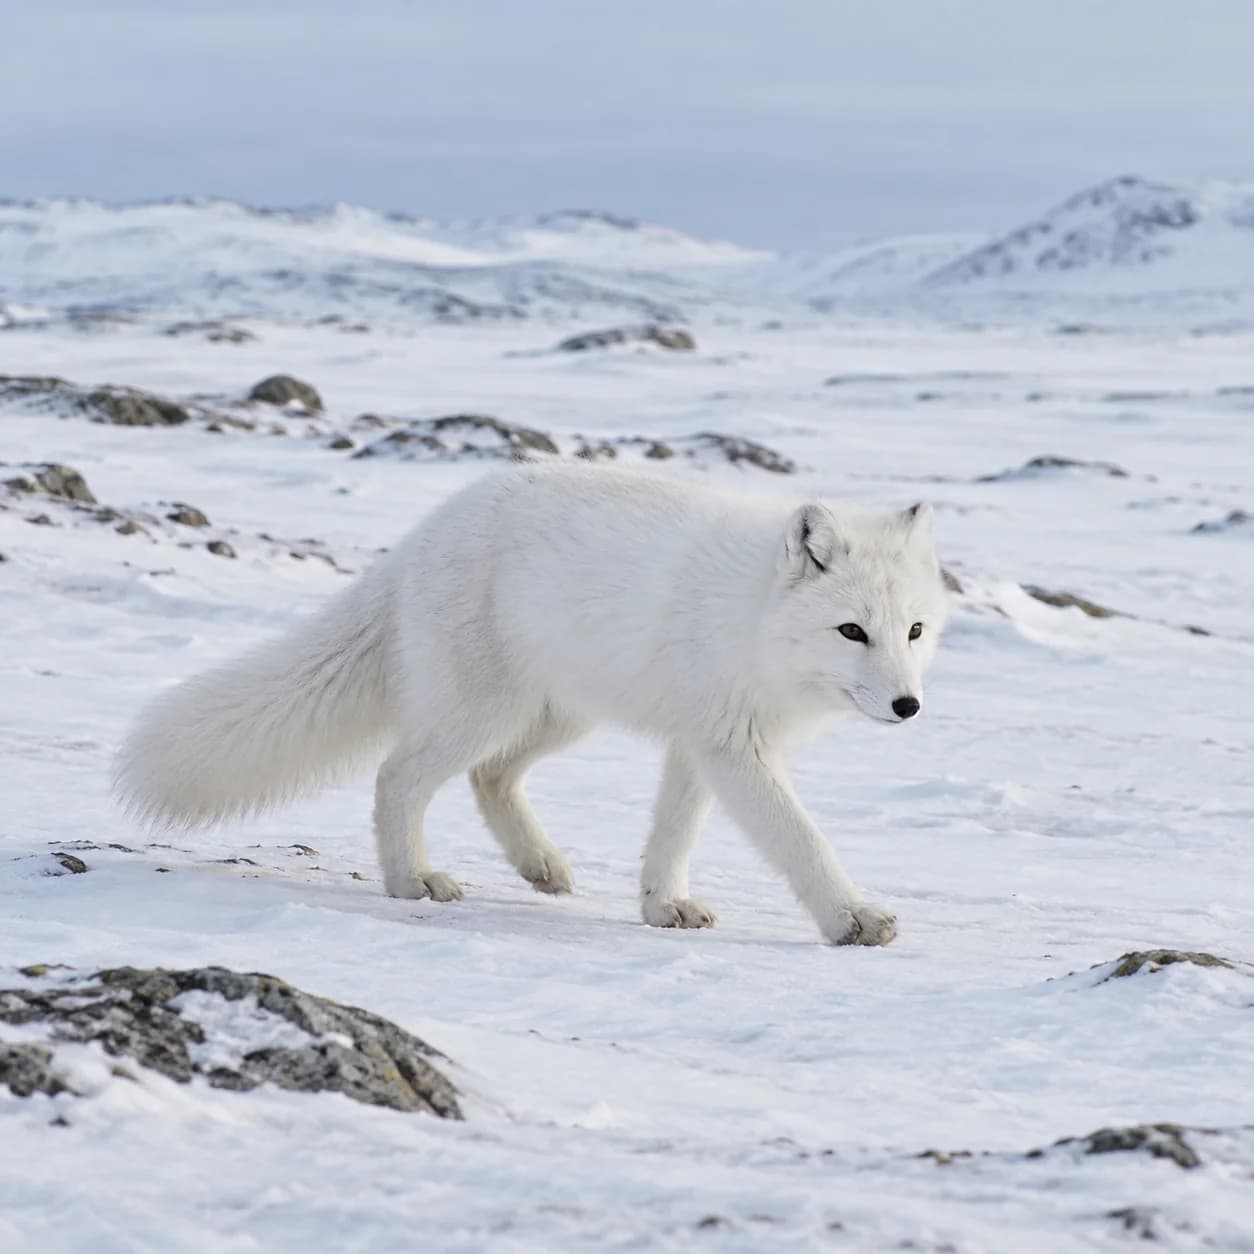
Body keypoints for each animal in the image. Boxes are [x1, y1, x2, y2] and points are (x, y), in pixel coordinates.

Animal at [115, 462, 948, 946]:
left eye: (914, 630)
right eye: (852, 631)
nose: (908, 706)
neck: (754, 618)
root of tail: (418, 538)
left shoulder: (698, 742)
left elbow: (672, 836)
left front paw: (662, 906)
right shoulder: (732, 745)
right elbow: (801, 839)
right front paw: (852, 918)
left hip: (556, 714)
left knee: (490, 778)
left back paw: (539, 866)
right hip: (484, 712)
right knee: (398, 776)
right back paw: (411, 881)